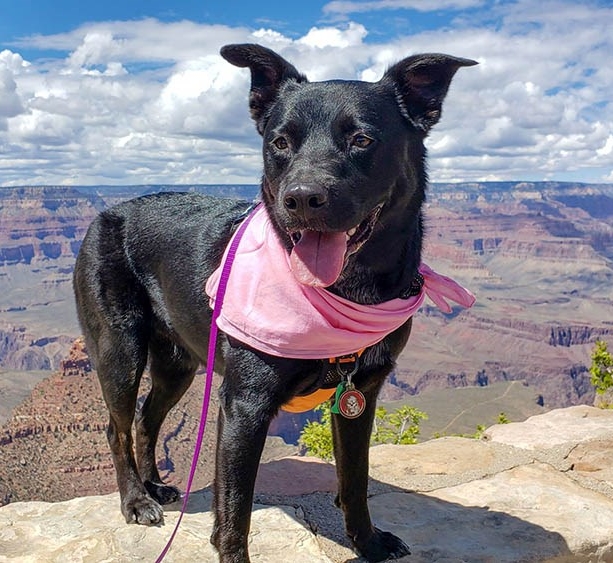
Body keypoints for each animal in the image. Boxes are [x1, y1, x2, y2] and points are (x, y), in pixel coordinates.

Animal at [73, 44, 478, 563]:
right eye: (281, 143)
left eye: (362, 139)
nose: (302, 199)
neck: (343, 292)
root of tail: (106, 213)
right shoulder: (244, 407)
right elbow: (234, 516)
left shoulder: (360, 395)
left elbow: (356, 481)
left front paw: (368, 543)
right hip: (119, 350)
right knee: (117, 425)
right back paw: (136, 500)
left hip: (179, 363)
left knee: (146, 418)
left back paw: (154, 484)